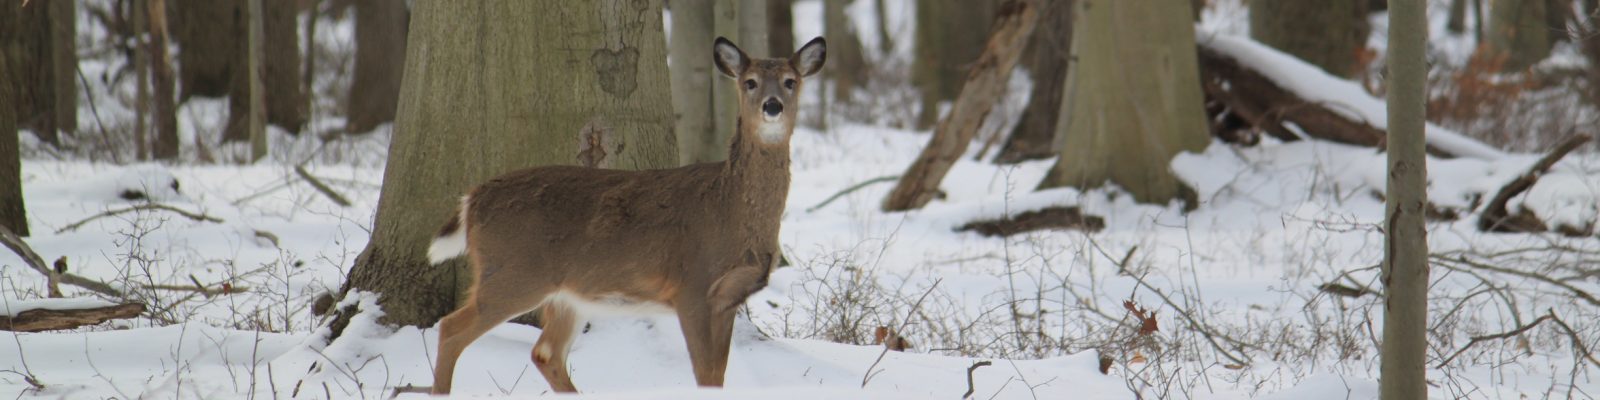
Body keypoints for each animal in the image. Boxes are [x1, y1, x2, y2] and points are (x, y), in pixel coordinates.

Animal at [425, 37, 825, 393]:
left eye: (790, 81)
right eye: (750, 81)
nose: (772, 106)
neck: (728, 207)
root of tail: (472, 199)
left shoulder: (728, 299)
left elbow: (717, 375)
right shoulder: (692, 287)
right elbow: (705, 376)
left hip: (564, 295)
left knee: (545, 353)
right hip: (512, 274)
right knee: (450, 330)